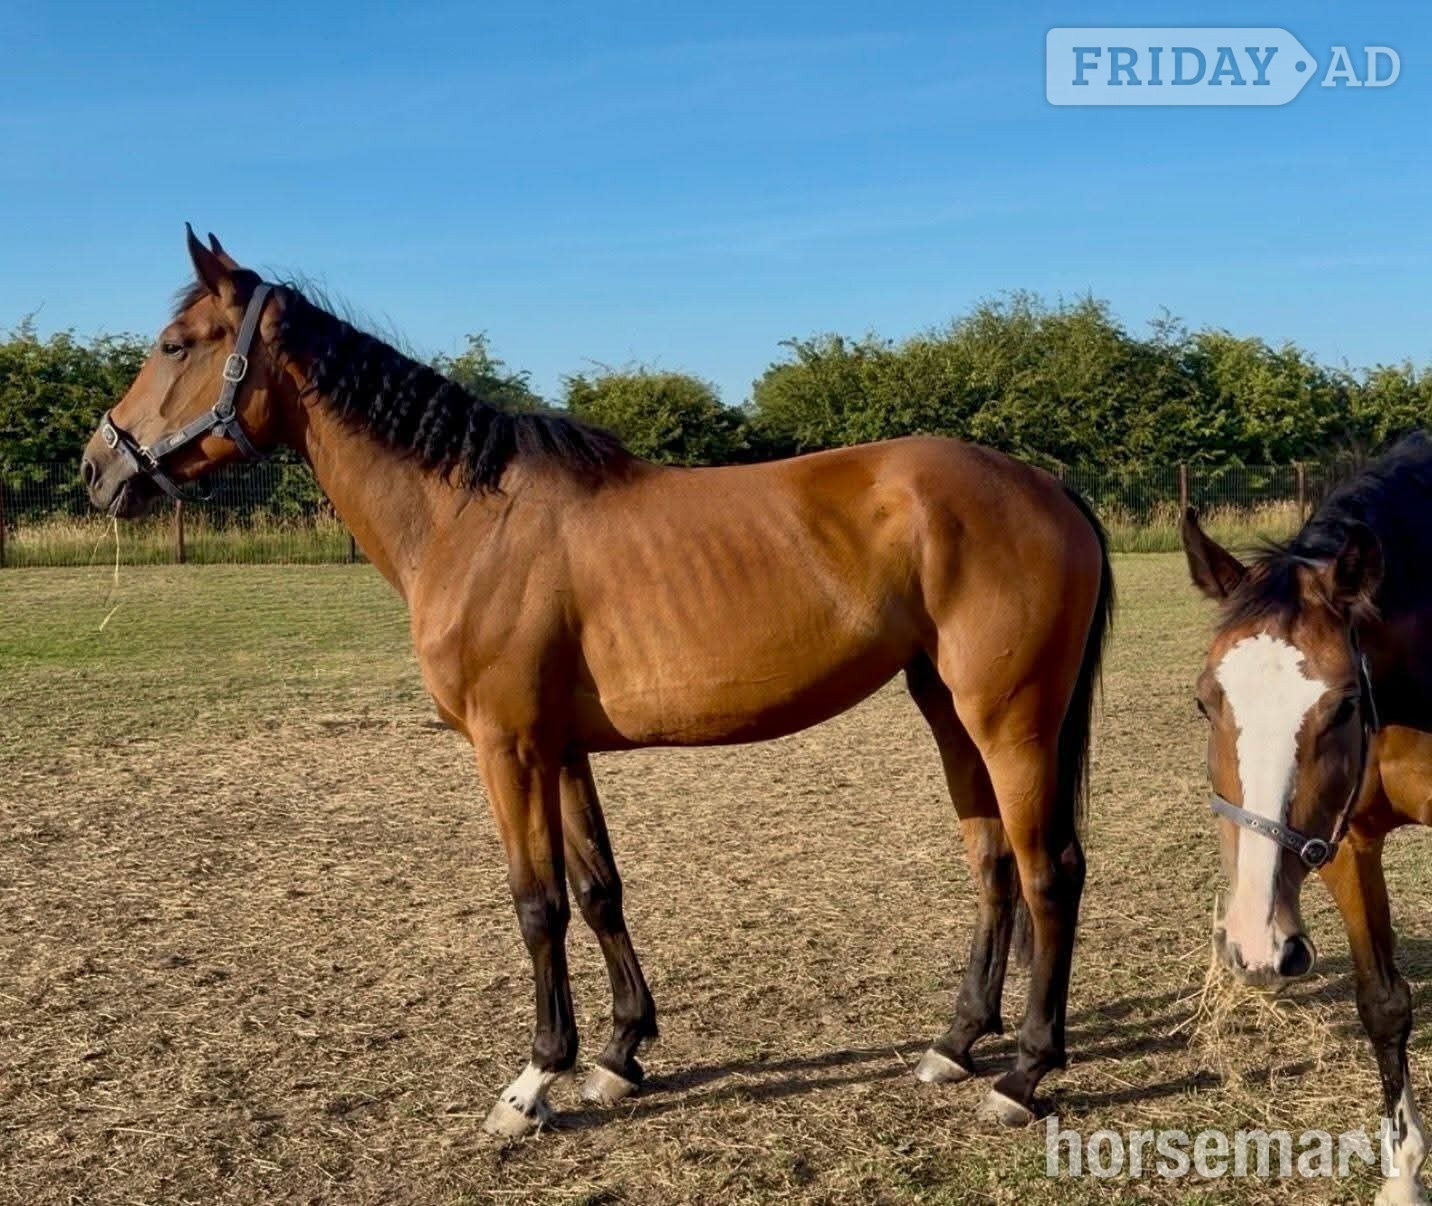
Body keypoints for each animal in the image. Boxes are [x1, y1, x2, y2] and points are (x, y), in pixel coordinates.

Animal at [81, 227, 1113, 1137]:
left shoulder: (507, 747)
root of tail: (1047, 486)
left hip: (1009, 721)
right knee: (993, 866)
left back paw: (1024, 1074)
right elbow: (597, 888)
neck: (470, 518)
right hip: (948, 711)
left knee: (1050, 870)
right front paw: (620, 1056)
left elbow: (535, 904)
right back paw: (956, 1043)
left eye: (174, 345)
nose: (98, 467)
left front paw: (534, 1080)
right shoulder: (562, 747)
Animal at [1182, 436, 1432, 1205]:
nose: (1257, 945)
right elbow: (1382, 1003)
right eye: (1205, 701)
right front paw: (1403, 1176)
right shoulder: (1346, 842)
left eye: (1345, 703)